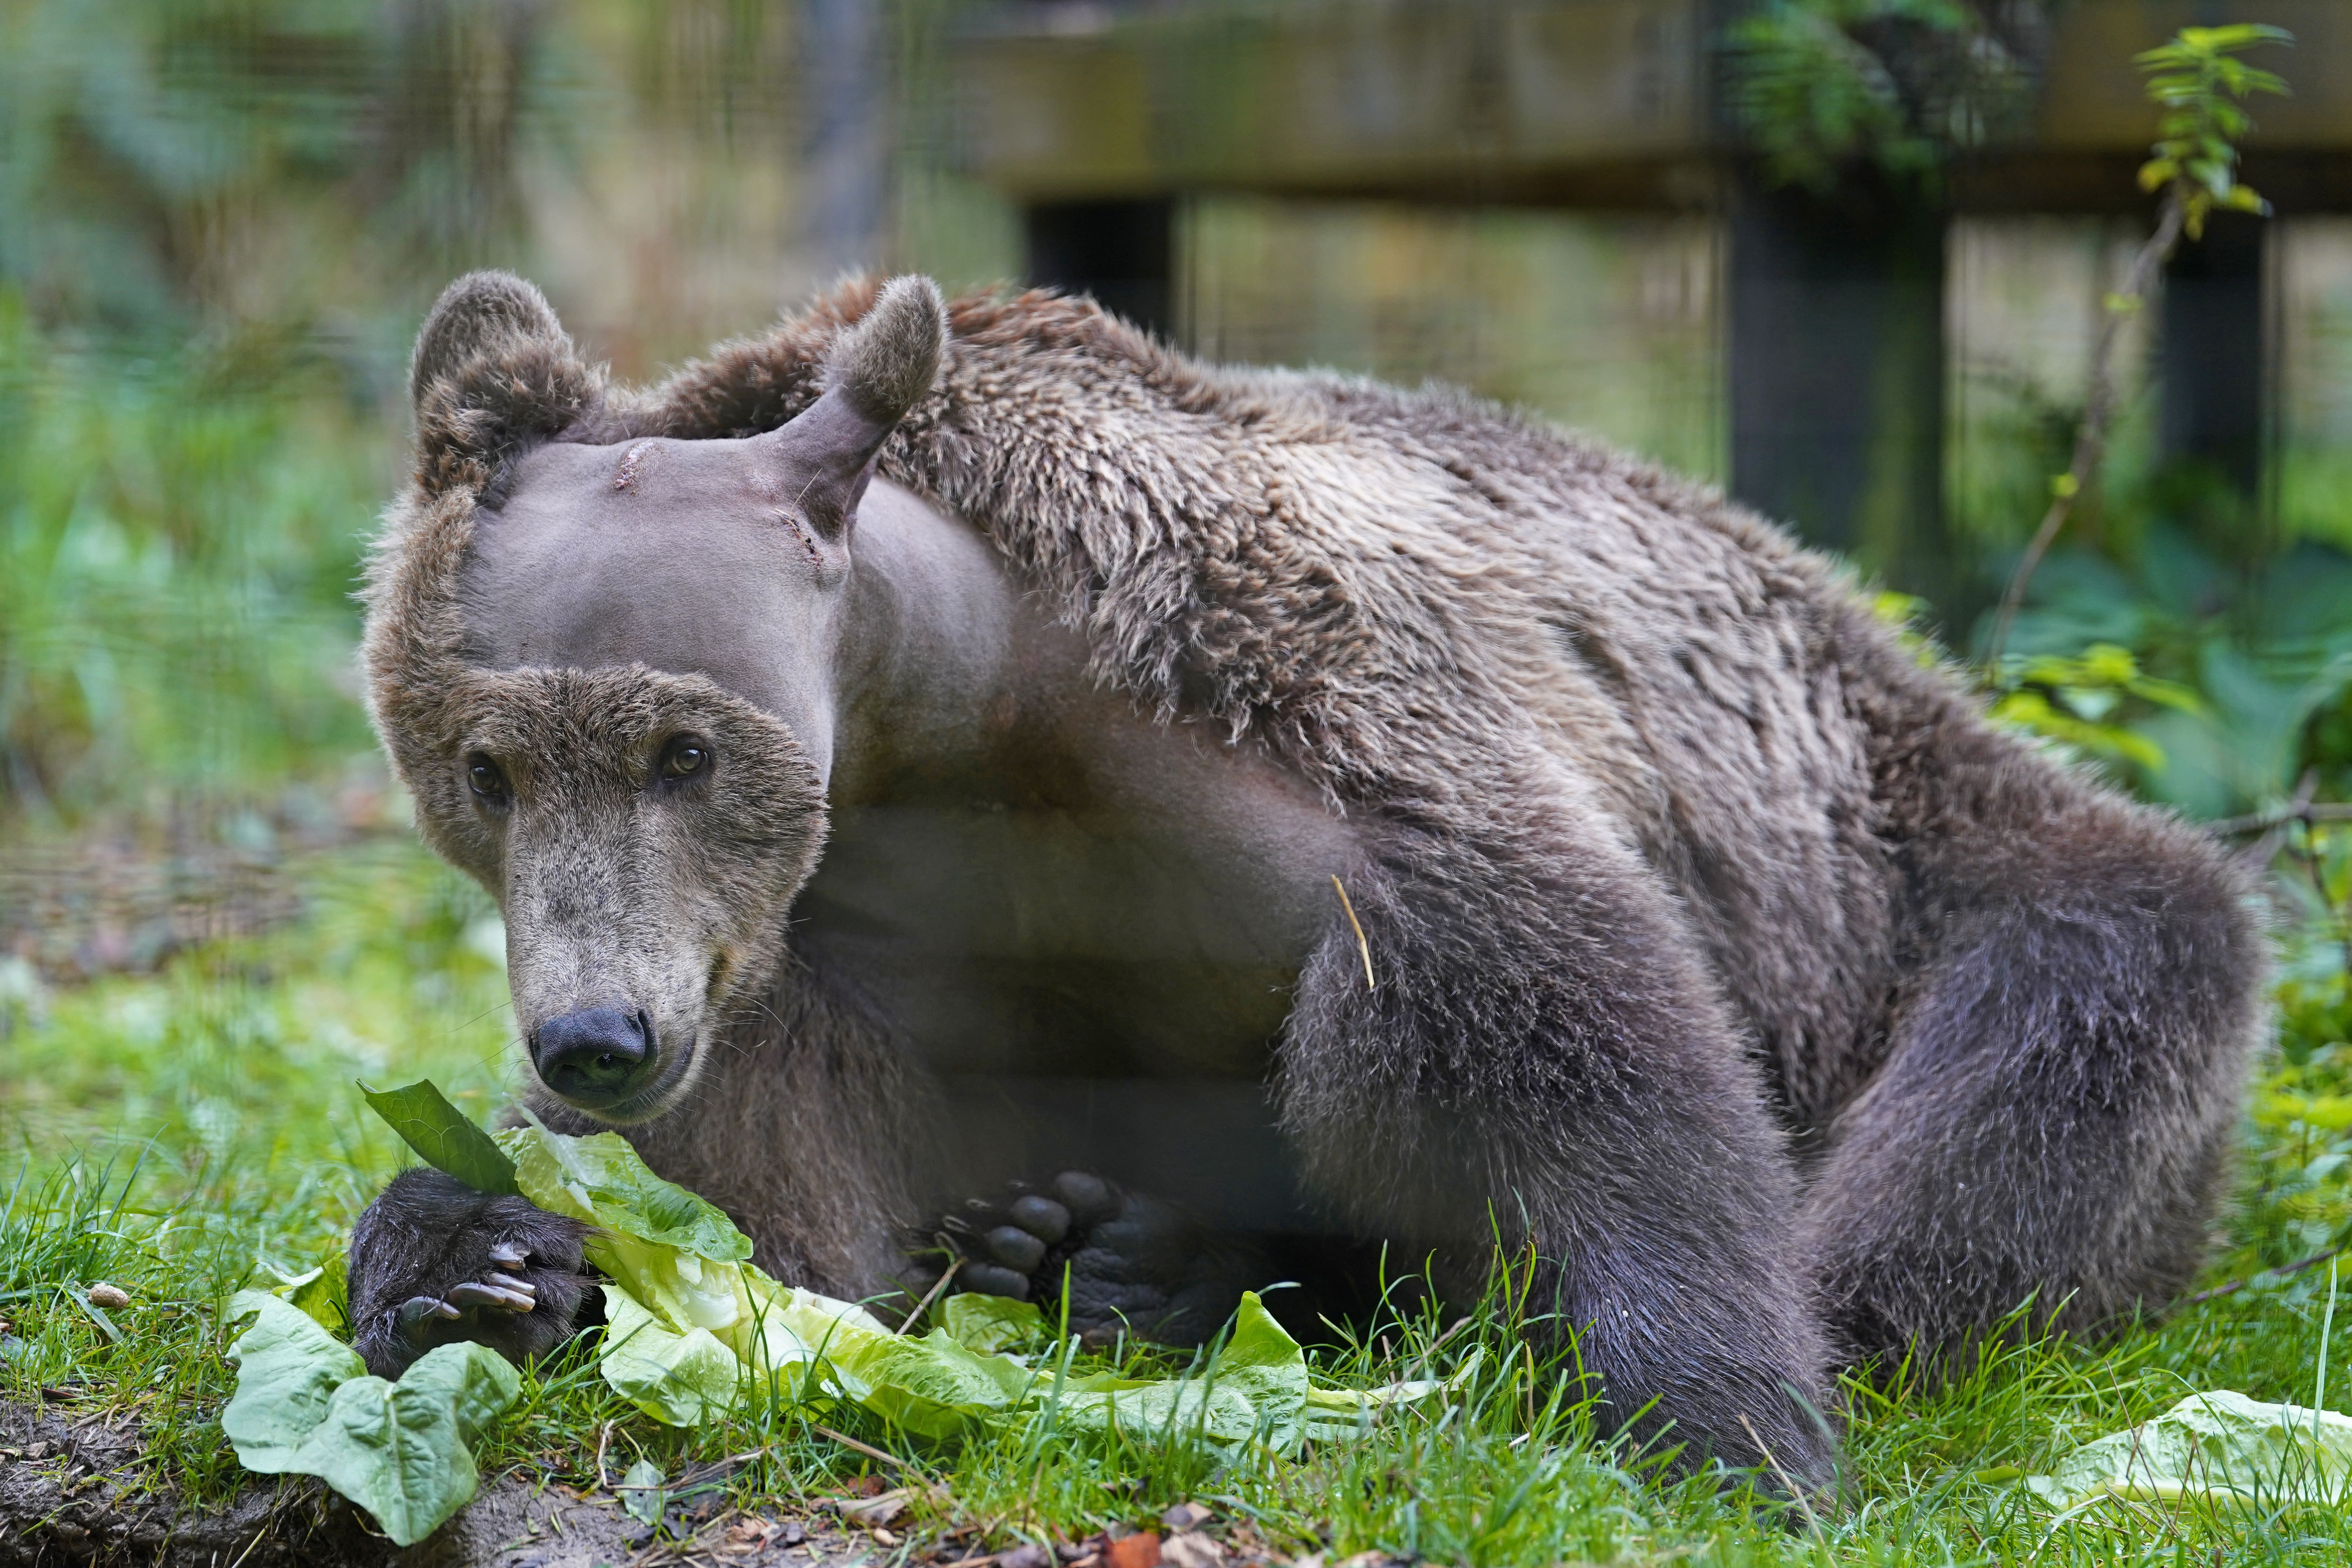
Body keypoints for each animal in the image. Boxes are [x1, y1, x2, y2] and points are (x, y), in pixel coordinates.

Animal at [343, 270, 2258, 1495]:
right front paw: (485, 1258)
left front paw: (1725, 1426)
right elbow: (804, 1197)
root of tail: (1864, 627)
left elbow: (1577, 1059)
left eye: (679, 748)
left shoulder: (1330, 740)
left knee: (2041, 1056)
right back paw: (1100, 1253)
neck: (963, 716)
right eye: (485, 768)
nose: (594, 1038)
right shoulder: (816, 950)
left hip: (1913, 869)